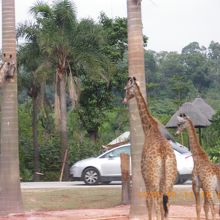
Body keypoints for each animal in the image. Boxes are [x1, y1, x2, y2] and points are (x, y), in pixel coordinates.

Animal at [123, 76, 178, 219]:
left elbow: (148, 201)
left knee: (156, 201)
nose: (124, 100)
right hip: (170, 179)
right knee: (166, 203)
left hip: (153, 179)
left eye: (126, 88)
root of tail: (164, 155)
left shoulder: (145, 177)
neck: (148, 129)